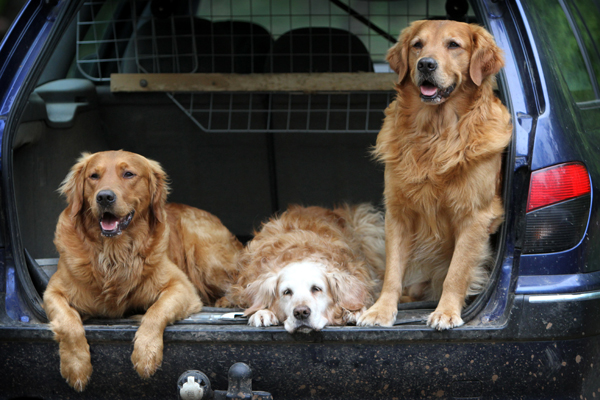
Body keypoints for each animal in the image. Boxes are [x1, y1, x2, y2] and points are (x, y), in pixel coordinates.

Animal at [43, 150, 242, 391]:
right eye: (93, 176)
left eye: (128, 174)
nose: (104, 197)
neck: (114, 254)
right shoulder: (52, 292)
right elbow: (68, 322)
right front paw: (76, 367)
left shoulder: (182, 287)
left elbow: (156, 311)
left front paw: (146, 355)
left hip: (206, 257)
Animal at [226, 204, 386, 333]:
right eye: (286, 292)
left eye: (316, 288)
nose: (301, 312)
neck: (300, 254)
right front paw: (262, 313)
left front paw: (354, 311)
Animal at [357, 20, 512, 330]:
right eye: (417, 45)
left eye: (453, 45)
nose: (426, 64)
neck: (435, 133)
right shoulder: (398, 213)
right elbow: (393, 271)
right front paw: (381, 310)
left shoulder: (474, 214)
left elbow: (457, 271)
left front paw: (446, 312)